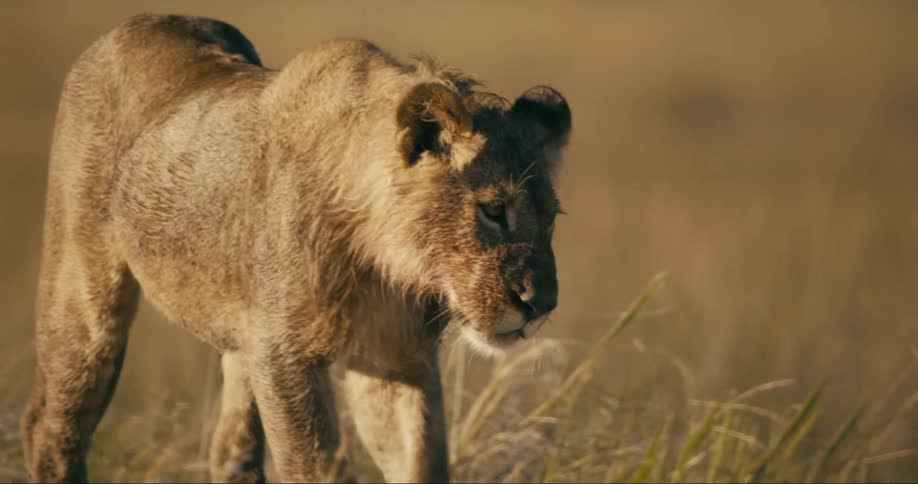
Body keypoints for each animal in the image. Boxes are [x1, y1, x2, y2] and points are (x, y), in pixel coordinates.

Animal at [21, 13, 571, 483]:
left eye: (550, 218)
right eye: (494, 210)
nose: (541, 304)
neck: (383, 260)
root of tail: (141, 21)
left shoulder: (394, 358)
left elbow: (417, 463)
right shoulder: (284, 354)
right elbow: (316, 468)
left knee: (232, 451)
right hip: (85, 296)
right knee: (51, 425)